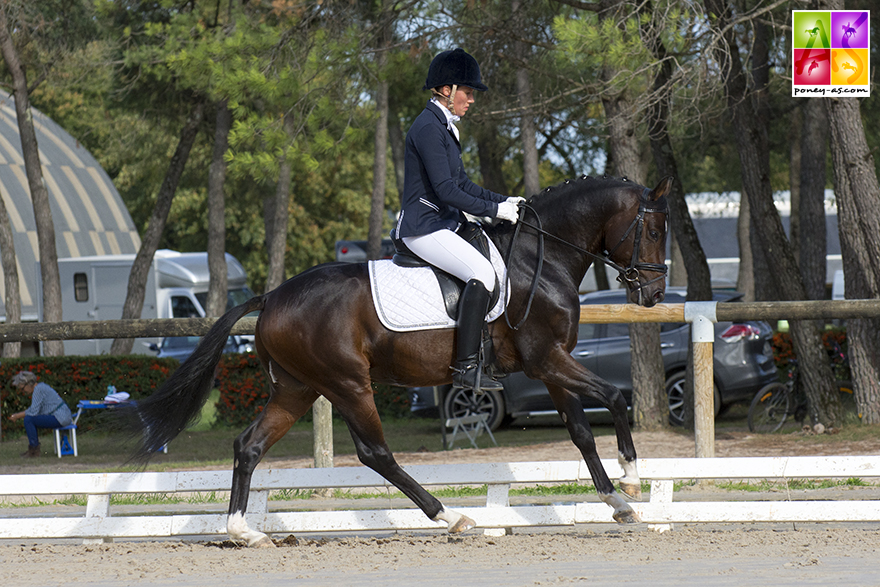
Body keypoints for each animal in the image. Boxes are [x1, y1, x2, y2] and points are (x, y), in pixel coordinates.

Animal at [124, 173, 672, 548]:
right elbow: (614, 397)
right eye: (652, 230)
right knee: (376, 454)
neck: (543, 256)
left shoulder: (552, 362)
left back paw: (245, 532)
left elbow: (580, 431)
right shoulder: (547, 360)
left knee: (249, 445)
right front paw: (632, 478)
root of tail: (272, 296)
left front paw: (618, 503)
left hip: (298, 388)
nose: (654, 294)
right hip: (347, 384)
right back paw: (452, 518)